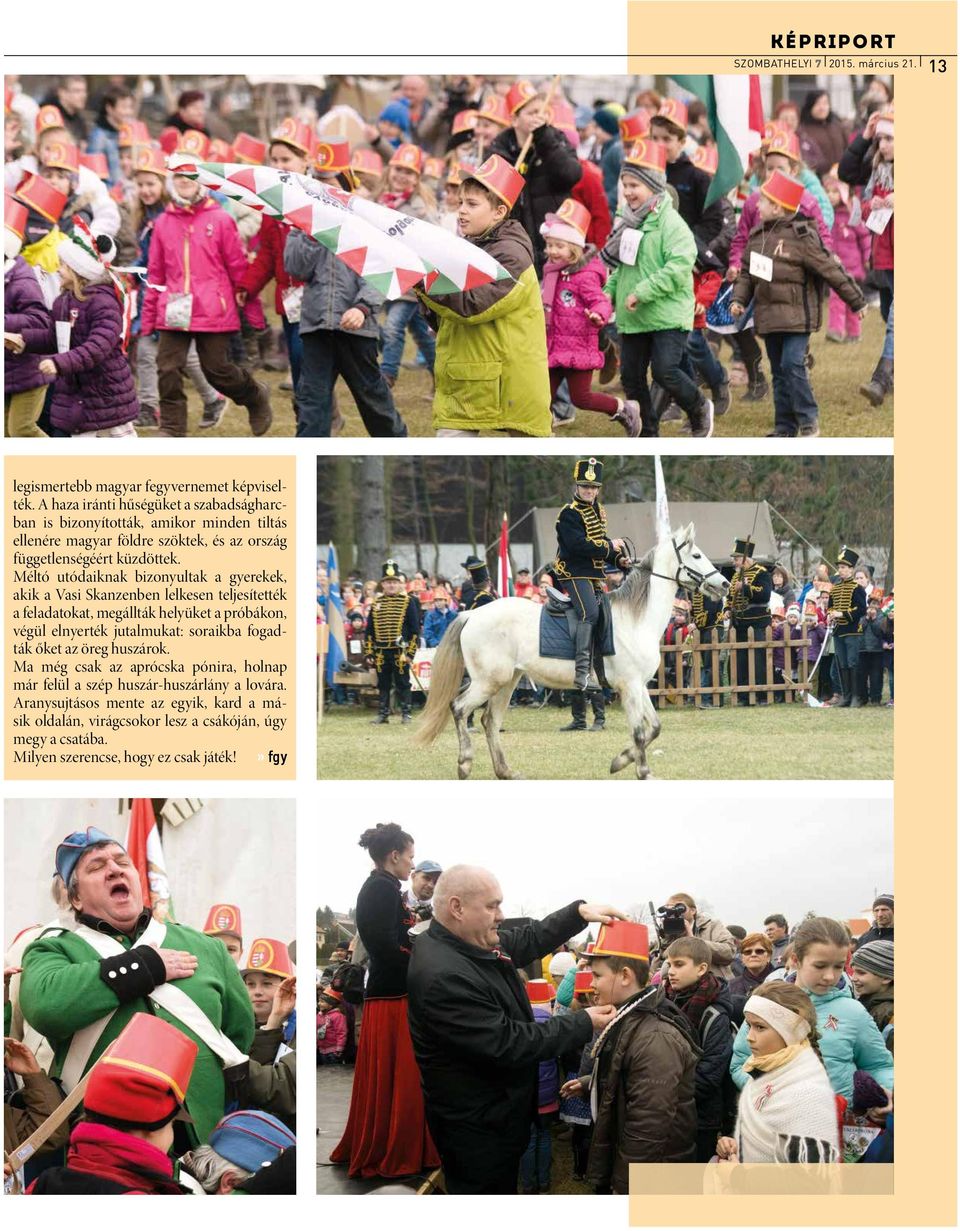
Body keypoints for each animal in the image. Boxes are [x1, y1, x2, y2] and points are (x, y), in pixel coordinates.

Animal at [418, 517, 728, 777]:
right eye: (697, 555)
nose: (724, 584)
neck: (635, 618)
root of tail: (471, 614)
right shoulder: (629, 686)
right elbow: (640, 732)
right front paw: (642, 771)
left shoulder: (639, 685)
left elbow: (654, 728)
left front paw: (619, 761)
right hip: (488, 681)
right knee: (459, 708)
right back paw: (464, 764)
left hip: (507, 681)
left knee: (490, 721)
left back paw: (505, 771)